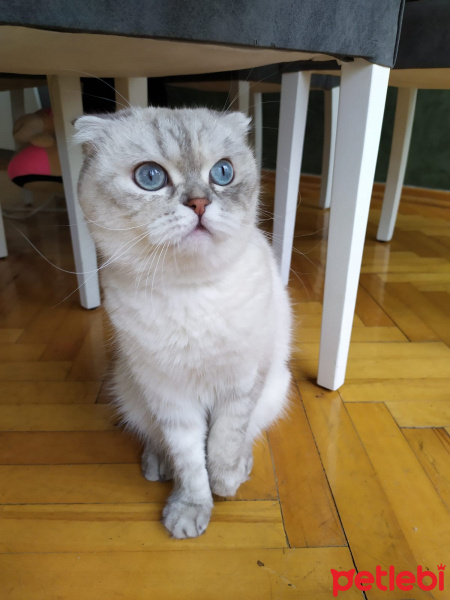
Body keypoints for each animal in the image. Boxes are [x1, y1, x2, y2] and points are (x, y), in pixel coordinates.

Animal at [74, 106, 292, 540]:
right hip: (131, 390)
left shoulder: (241, 385)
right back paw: (157, 466)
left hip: (275, 388)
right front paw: (191, 511)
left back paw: (240, 469)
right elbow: (191, 462)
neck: (192, 293)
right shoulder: (170, 397)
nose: (199, 203)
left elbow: (223, 441)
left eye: (222, 173)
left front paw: (225, 484)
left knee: (248, 434)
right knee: (158, 440)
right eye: (150, 177)